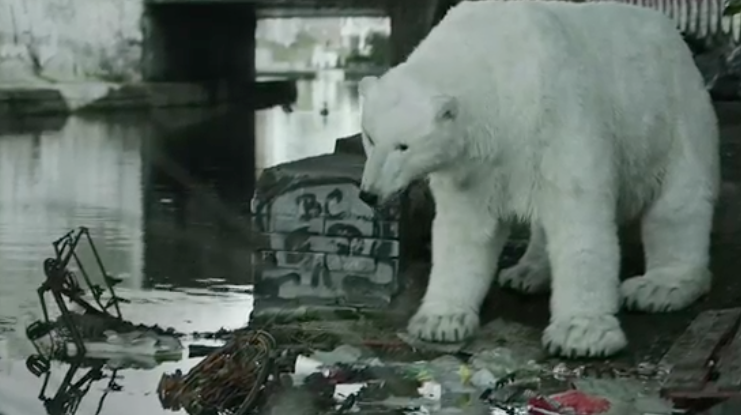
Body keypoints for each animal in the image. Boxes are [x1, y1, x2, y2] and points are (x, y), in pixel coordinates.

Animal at [356, 0, 720, 358]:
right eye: (370, 137)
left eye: (403, 145)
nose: (369, 193)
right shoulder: (474, 164)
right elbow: (466, 228)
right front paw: (441, 320)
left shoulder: (557, 116)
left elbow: (578, 217)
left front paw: (581, 335)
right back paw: (527, 272)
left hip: (675, 116)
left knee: (678, 206)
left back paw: (658, 287)